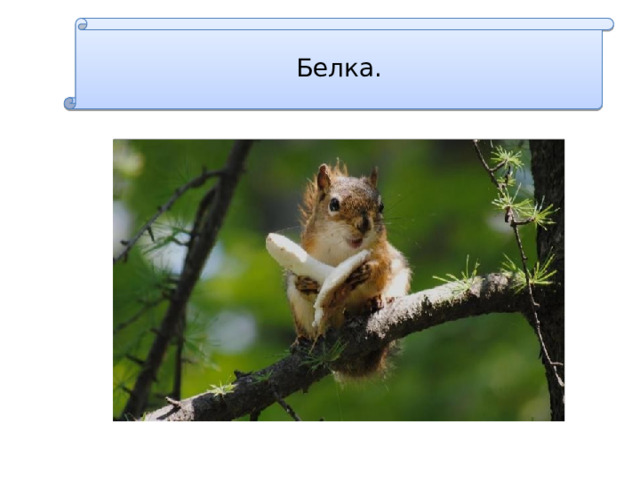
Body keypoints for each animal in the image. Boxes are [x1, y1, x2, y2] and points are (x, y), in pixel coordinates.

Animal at [286, 162, 411, 378]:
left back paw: (377, 301)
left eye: (381, 206)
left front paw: (369, 270)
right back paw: (303, 339)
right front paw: (304, 283)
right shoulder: (307, 253)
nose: (364, 224)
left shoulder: (383, 251)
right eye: (334, 204)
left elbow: (381, 267)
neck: (344, 250)